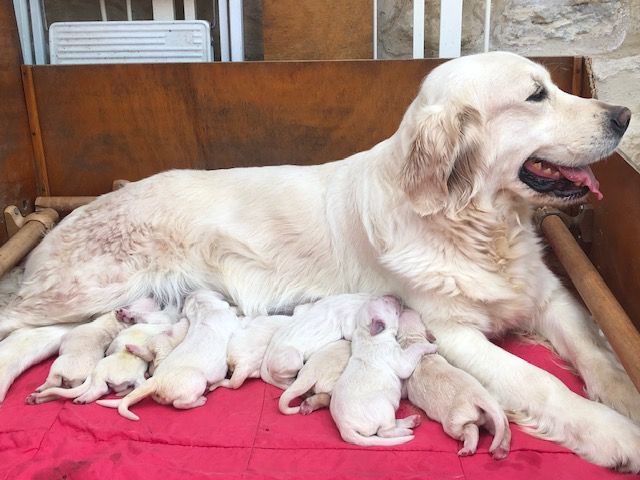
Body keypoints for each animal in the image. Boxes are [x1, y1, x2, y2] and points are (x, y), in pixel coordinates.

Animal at [99, 288, 239, 420]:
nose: (185, 295)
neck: (203, 310)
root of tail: (156, 381)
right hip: (197, 381)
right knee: (179, 403)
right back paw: (200, 400)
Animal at [330, 296, 436, 446]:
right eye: (386, 302)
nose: (395, 296)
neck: (366, 332)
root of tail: (345, 428)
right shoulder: (401, 361)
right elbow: (417, 348)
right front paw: (432, 347)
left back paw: (411, 421)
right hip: (385, 409)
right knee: (384, 432)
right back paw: (405, 430)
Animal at [398, 310, 512, 460]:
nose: (405, 308)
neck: (413, 339)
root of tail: (480, 397)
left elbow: (403, 391)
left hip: (454, 422)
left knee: (471, 429)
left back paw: (468, 449)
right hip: (494, 417)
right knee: (504, 430)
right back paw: (501, 450)